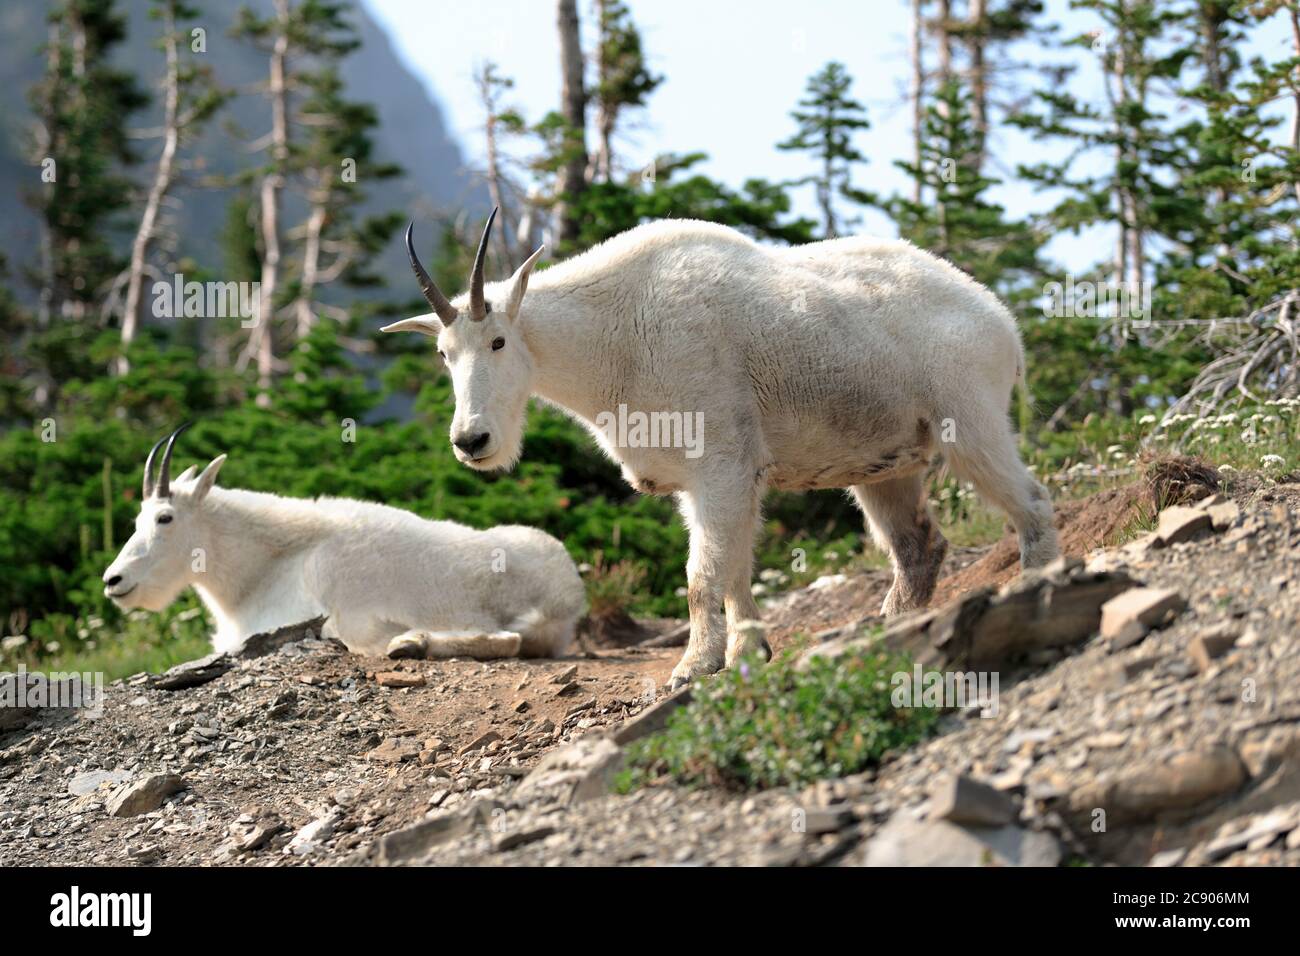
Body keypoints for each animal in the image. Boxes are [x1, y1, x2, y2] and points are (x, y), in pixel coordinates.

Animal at [102, 426, 585, 660]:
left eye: (165, 518)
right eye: (136, 519)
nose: (113, 580)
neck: (264, 567)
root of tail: (568, 591)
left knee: (507, 639)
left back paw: (411, 643)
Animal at [384, 212, 1059, 688]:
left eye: (498, 341)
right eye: (444, 353)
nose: (472, 441)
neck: (615, 334)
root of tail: (1004, 324)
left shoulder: (721, 465)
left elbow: (701, 575)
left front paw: (694, 667)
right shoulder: (705, 482)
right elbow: (733, 569)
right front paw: (748, 651)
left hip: (971, 423)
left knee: (1031, 504)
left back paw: (1039, 587)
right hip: (885, 467)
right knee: (919, 547)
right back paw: (889, 629)